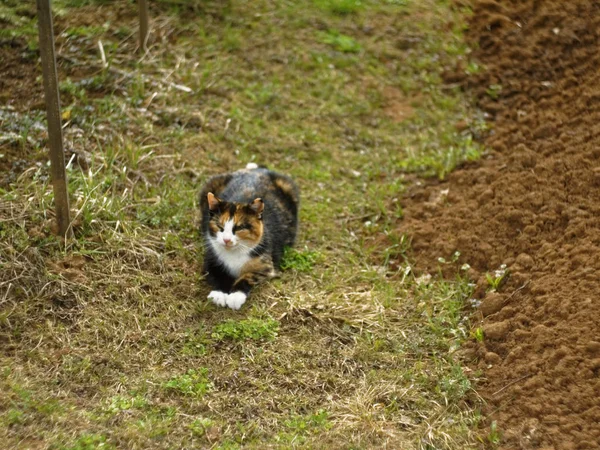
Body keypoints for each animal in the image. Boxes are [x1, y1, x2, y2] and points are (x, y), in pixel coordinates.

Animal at [198, 164, 298, 310]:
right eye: (219, 226)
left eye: (239, 228)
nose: (226, 240)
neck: (234, 253)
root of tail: (256, 170)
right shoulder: (211, 259)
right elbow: (217, 275)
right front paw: (219, 294)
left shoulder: (265, 267)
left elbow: (248, 276)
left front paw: (235, 297)